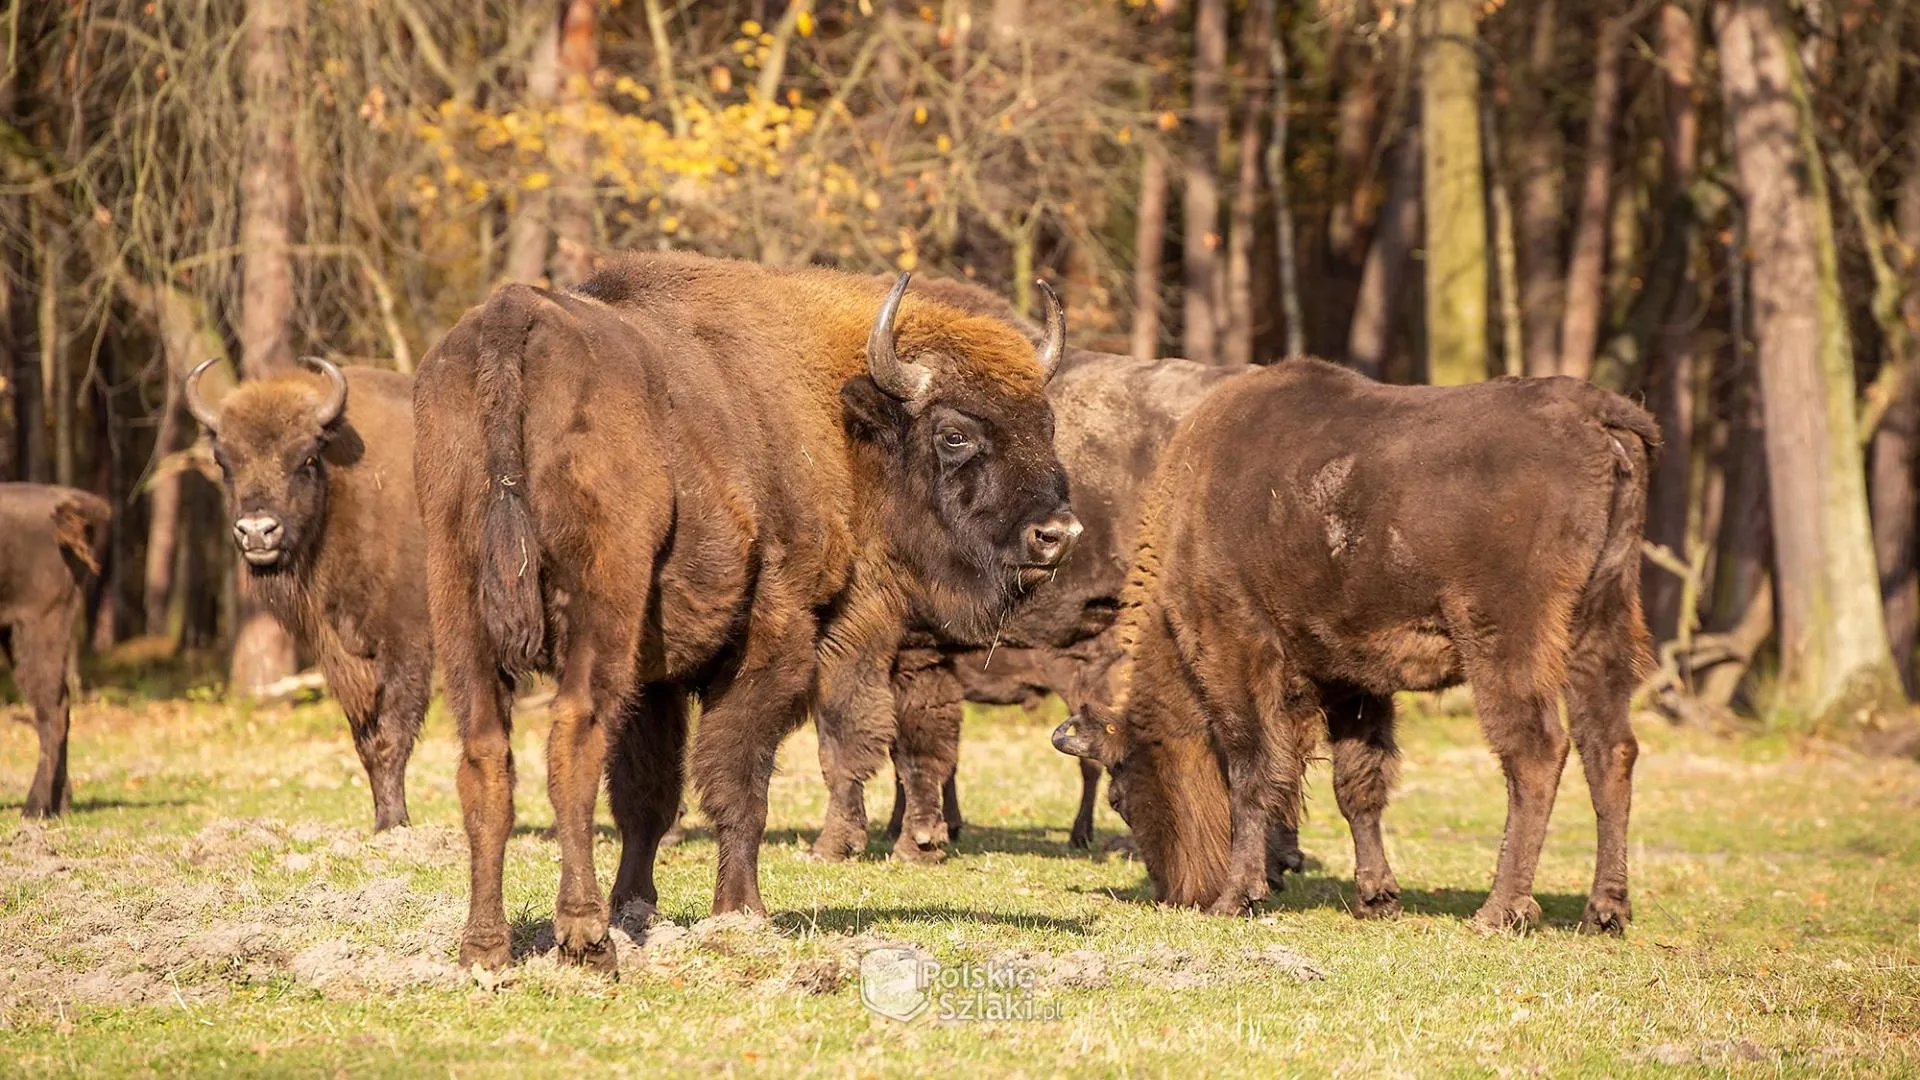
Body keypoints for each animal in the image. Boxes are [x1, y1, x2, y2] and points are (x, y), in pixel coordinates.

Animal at [180, 357, 432, 826]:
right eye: (224, 462)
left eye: (306, 457)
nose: (257, 531)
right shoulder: (341, 652)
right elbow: (366, 740)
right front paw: (382, 822)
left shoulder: (407, 640)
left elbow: (393, 730)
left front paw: (395, 822)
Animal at [412, 249, 1082, 968]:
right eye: (954, 434)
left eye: (1046, 426)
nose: (1057, 534)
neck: (836, 413)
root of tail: (514, 321)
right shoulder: (773, 642)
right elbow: (739, 782)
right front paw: (742, 911)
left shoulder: (658, 677)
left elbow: (649, 795)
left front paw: (638, 906)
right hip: (598, 605)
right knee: (572, 738)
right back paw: (586, 939)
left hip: (459, 608)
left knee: (485, 759)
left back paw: (485, 948)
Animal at [1052, 357, 1651, 930]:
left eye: (1122, 798)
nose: (1175, 896)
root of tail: (1596, 415)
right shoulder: (1349, 680)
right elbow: (1357, 784)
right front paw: (1377, 898)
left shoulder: (1235, 651)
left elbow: (1252, 771)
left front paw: (1236, 896)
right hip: (1599, 627)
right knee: (1610, 749)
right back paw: (1604, 913)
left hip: (1506, 639)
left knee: (1536, 751)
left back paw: (1499, 911)